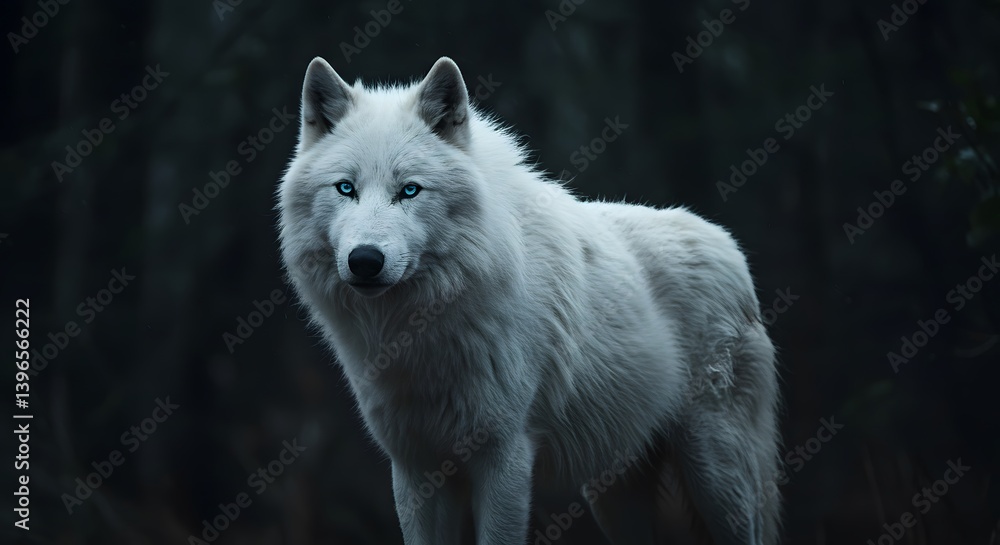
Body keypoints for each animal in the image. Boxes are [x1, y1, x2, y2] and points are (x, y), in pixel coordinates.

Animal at [277, 56, 782, 545]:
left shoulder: (505, 457)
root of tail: (728, 244)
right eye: (346, 188)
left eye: (410, 190)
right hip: (615, 493)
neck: (420, 333)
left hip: (719, 481)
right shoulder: (415, 468)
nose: (365, 260)